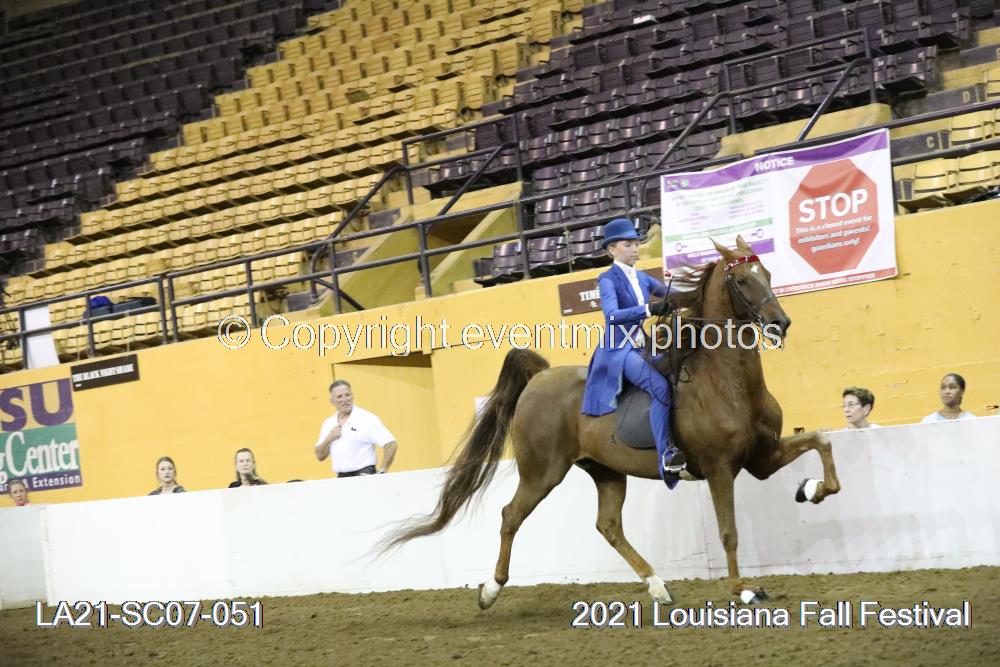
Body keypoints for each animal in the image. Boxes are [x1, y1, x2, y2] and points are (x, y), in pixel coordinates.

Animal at [384, 235, 841, 607]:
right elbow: (728, 531)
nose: (780, 323)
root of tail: (540, 377)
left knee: (608, 525)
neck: (728, 381)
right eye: (743, 281)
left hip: (605, 471)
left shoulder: (762, 458)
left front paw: (813, 490)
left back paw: (657, 585)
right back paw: (490, 590)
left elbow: (822, 442)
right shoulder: (719, 468)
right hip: (542, 472)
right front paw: (743, 590)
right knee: (511, 516)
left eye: (767, 273)